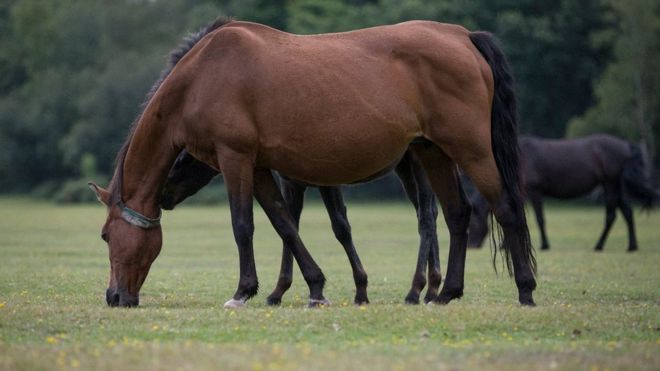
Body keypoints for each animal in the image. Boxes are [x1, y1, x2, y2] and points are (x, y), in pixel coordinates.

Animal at [159, 148, 444, 306]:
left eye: (182, 160)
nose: (162, 197)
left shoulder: (327, 180)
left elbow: (340, 227)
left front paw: (361, 289)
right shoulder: (291, 182)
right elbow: (289, 228)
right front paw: (278, 291)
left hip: (418, 165)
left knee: (426, 217)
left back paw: (417, 289)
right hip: (404, 167)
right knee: (427, 211)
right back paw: (432, 288)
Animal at [466, 134, 656, 253]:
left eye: (473, 223)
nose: (471, 245)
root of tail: (627, 146)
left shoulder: (534, 191)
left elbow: (539, 219)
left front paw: (544, 245)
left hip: (610, 184)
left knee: (611, 215)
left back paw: (599, 245)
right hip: (615, 185)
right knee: (627, 212)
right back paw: (631, 246)